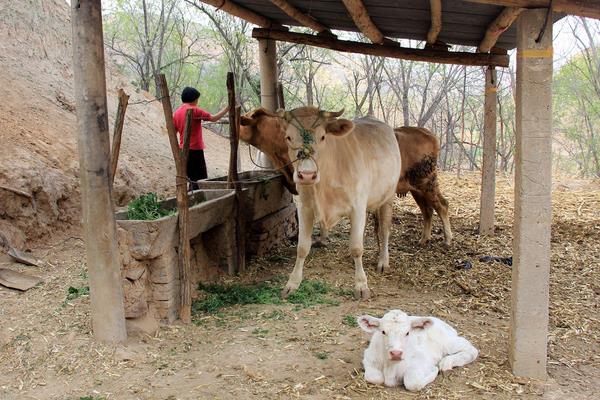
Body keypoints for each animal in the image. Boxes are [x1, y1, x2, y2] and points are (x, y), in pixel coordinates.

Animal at [276, 107, 398, 300]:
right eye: (288, 137)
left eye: (323, 137)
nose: (307, 175)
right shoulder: (305, 207)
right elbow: (302, 247)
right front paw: (292, 283)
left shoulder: (357, 207)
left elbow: (356, 247)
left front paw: (361, 285)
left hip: (388, 197)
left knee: (384, 230)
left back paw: (383, 261)